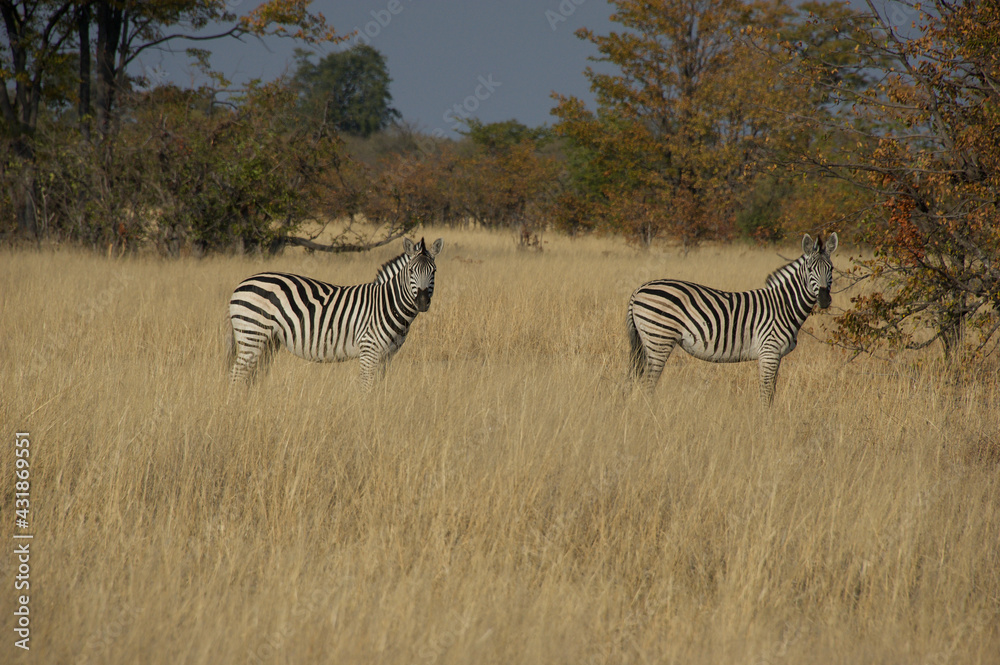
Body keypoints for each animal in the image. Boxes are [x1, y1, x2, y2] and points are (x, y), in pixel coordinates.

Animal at [227, 237, 443, 389]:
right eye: (411, 271)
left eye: (434, 271)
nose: (422, 302)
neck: (387, 304)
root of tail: (241, 284)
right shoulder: (369, 350)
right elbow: (366, 387)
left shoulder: (387, 356)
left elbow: (378, 388)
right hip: (252, 333)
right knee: (236, 375)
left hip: (268, 340)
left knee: (252, 375)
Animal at [626, 233, 838, 406]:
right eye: (809, 268)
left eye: (832, 269)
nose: (824, 299)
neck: (783, 306)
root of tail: (639, 289)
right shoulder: (769, 351)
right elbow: (766, 393)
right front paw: (765, 423)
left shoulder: (774, 355)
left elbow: (771, 392)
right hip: (659, 339)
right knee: (648, 383)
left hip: (647, 341)